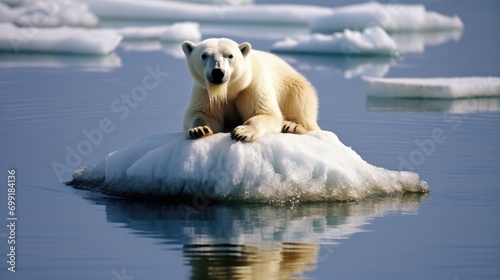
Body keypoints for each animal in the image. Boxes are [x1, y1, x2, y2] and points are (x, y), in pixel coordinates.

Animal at [182, 37, 318, 142]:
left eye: (230, 55)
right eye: (204, 55)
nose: (217, 72)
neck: (230, 90)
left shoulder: (252, 86)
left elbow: (265, 113)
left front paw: (242, 132)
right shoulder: (204, 91)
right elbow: (203, 113)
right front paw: (198, 130)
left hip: (294, 86)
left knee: (301, 103)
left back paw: (292, 125)